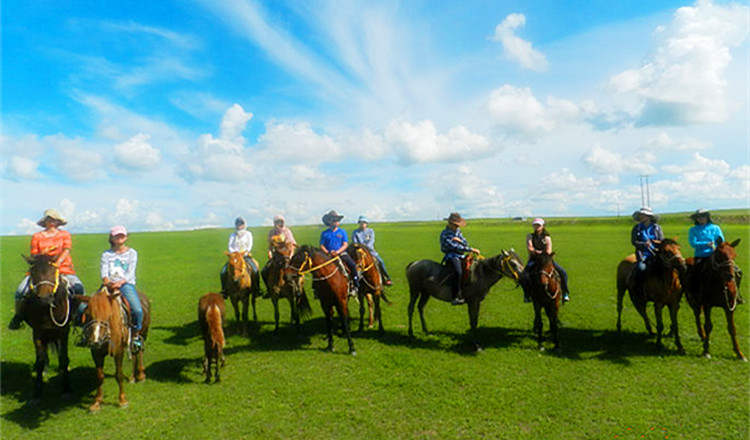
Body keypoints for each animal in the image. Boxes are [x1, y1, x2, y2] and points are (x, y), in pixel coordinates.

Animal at [19, 254, 78, 402]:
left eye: (53, 271)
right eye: (34, 272)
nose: (45, 298)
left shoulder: (63, 332)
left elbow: (63, 358)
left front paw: (66, 389)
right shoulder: (37, 332)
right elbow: (40, 361)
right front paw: (37, 393)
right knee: (43, 355)